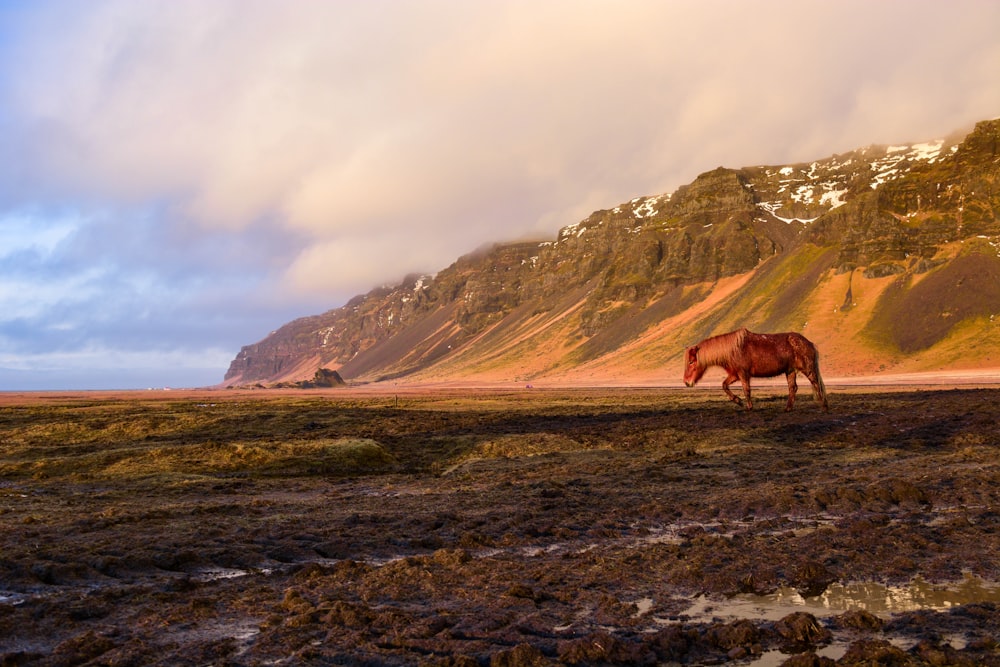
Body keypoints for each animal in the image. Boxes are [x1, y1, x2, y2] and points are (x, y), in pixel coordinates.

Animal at [684, 328, 832, 412]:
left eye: (691, 362)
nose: (686, 382)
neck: (733, 350)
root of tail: (809, 343)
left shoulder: (743, 373)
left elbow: (746, 389)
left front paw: (749, 406)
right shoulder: (734, 374)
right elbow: (724, 385)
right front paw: (738, 401)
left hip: (808, 369)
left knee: (816, 384)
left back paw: (824, 407)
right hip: (790, 371)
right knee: (793, 388)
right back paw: (788, 408)